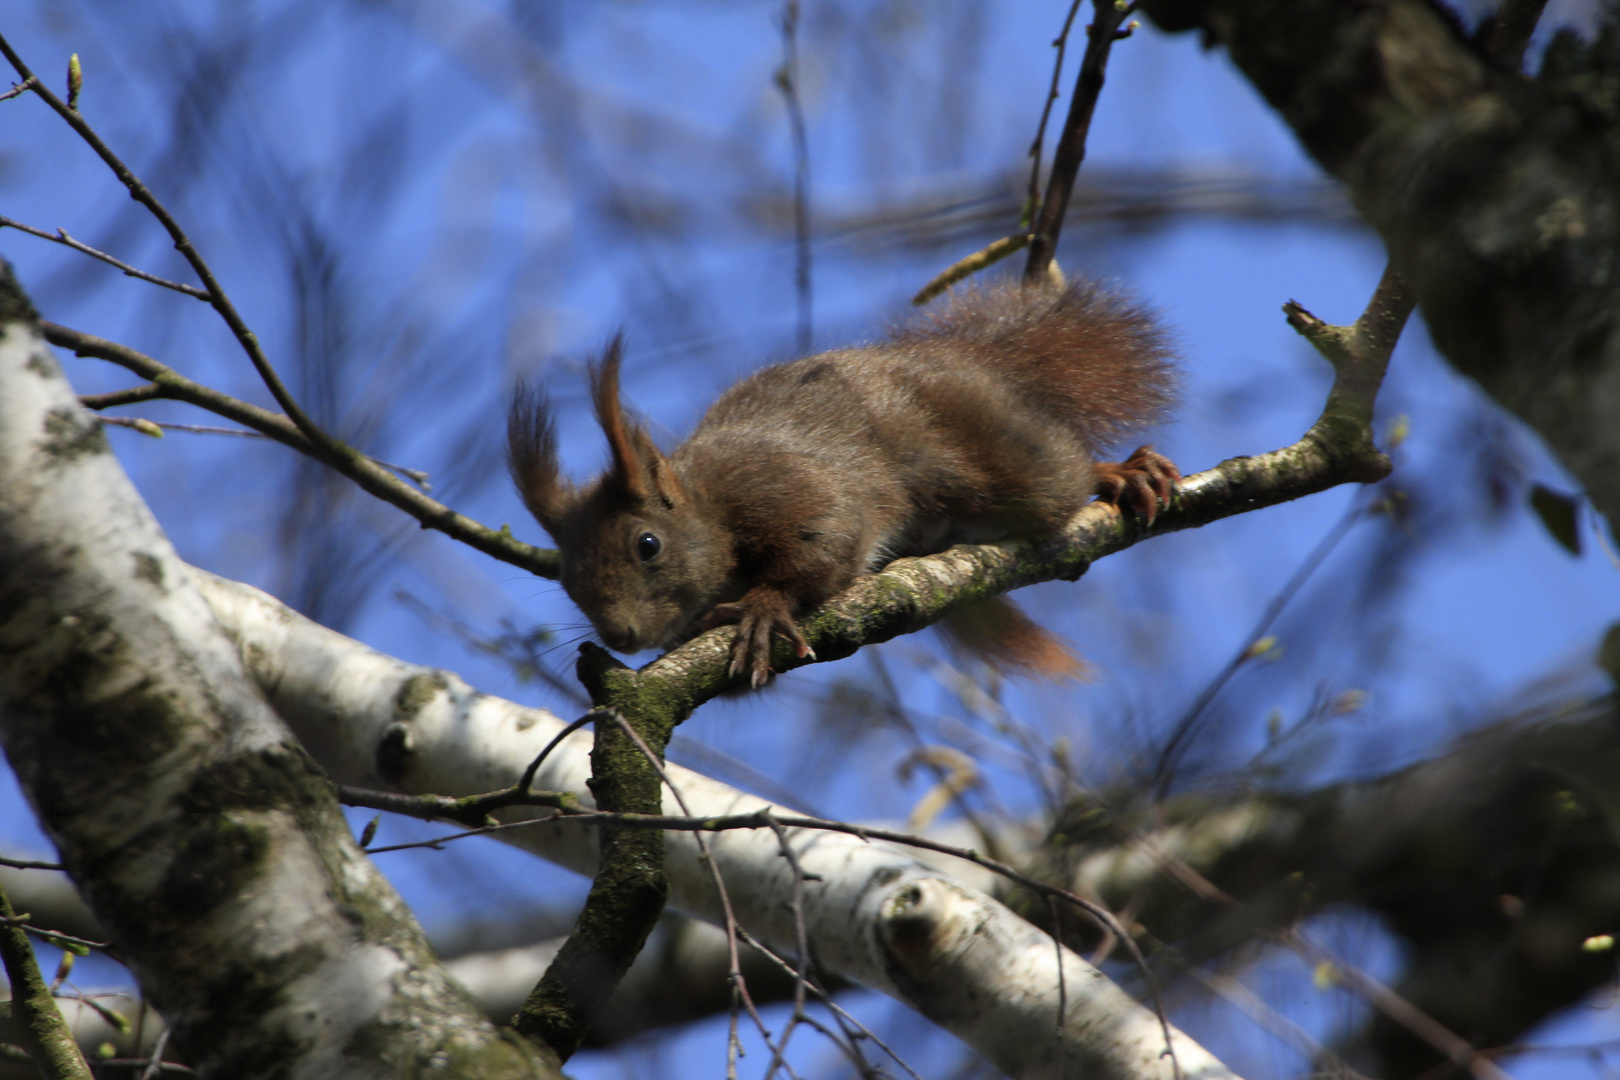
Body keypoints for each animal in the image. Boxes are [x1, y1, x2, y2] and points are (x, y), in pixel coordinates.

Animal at [511, 276, 1185, 683]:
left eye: (647, 544)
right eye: (566, 580)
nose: (620, 637)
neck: (709, 500)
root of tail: (964, 359)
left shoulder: (782, 483)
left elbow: (824, 544)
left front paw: (764, 608)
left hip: (995, 456)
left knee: (1057, 477)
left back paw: (1119, 472)